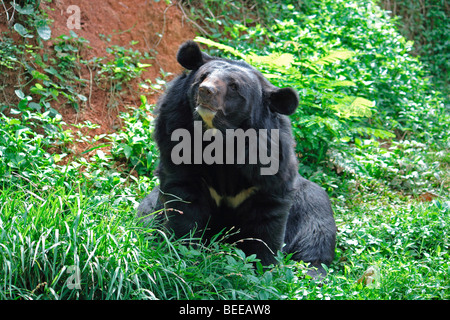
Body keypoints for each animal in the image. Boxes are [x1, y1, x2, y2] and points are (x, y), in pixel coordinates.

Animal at [139, 40, 336, 276]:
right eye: (203, 76)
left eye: (234, 87)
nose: (206, 91)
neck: (222, 141)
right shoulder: (175, 134)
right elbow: (182, 203)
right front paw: (181, 252)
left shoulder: (270, 166)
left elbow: (266, 222)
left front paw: (260, 269)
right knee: (146, 213)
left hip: (311, 204)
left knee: (315, 235)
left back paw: (311, 272)